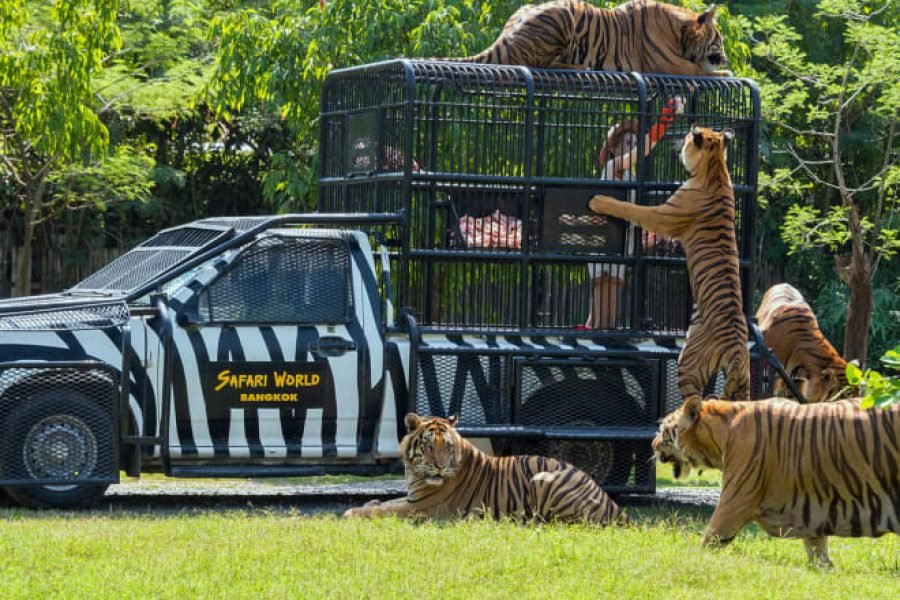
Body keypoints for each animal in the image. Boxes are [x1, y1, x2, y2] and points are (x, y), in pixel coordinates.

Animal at [343, 412, 627, 526]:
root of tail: (613, 505)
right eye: (428, 446)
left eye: (447, 447)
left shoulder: (422, 507)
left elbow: (385, 510)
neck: (415, 472)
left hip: (543, 478)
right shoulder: (412, 498)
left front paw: (351, 512)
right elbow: (386, 503)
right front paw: (371, 502)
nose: (440, 467)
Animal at [441, 0, 731, 77]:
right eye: (720, 40)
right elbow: (700, 70)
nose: (726, 58)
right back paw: (580, 66)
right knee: (537, 64)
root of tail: (505, 33)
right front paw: (727, 73)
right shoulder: (669, 64)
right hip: (561, 16)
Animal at [589, 125, 750, 400]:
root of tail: (737, 348)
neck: (716, 168)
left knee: (693, 397)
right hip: (743, 380)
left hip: (689, 362)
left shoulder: (662, 215)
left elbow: (632, 208)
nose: (683, 135)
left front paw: (600, 201)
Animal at [655, 395, 900, 566]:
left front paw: (689, 559)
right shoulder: (814, 509)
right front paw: (825, 569)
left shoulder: (736, 500)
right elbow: (817, 547)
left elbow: (709, 538)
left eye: (663, 429)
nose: (652, 444)